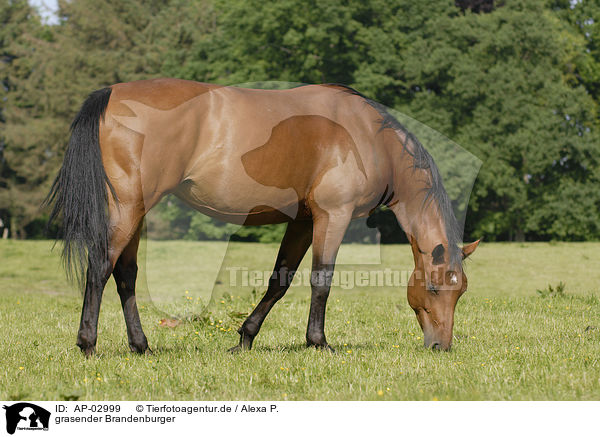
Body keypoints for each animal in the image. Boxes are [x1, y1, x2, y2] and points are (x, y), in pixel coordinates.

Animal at [45, 78, 478, 356]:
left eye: (460, 293)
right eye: (434, 289)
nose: (440, 347)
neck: (369, 136)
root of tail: (112, 94)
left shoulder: (303, 221)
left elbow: (279, 281)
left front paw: (244, 340)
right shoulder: (332, 217)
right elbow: (321, 281)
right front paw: (319, 343)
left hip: (133, 213)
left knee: (125, 276)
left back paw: (141, 346)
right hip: (127, 210)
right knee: (100, 268)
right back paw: (88, 345)